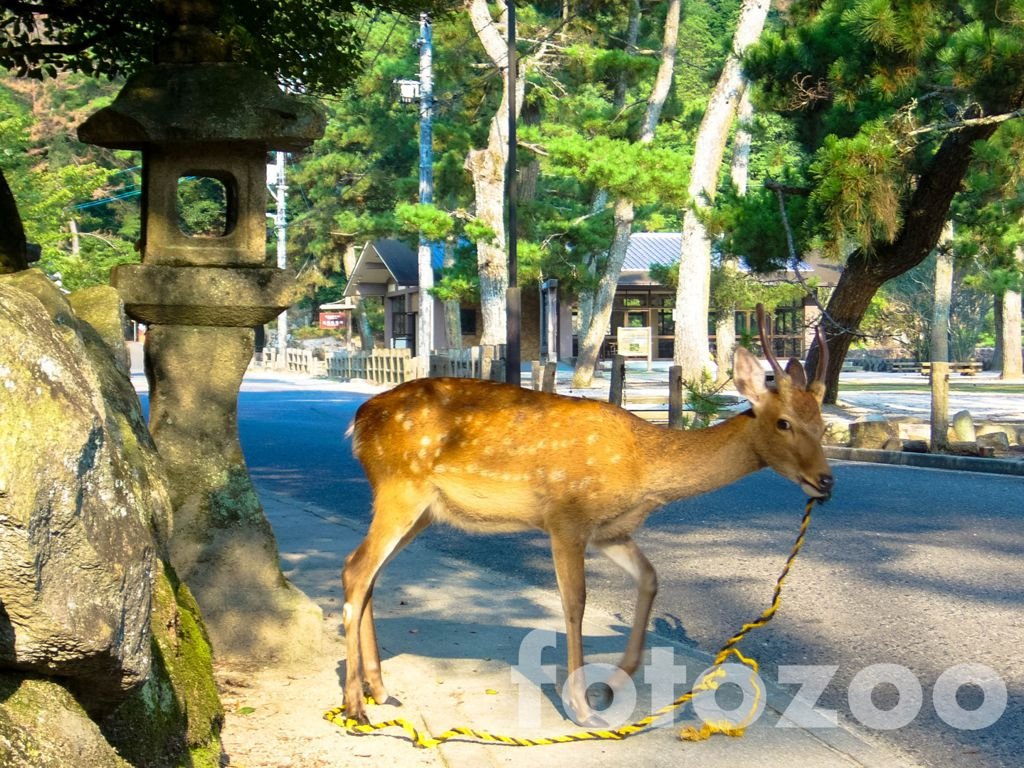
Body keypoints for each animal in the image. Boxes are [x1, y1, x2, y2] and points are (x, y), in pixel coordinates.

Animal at [342, 309, 831, 729]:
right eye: (784, 422)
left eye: (823, 424)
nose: (825, 480)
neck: (642, 467)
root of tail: (358, 421)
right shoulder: (567, 517)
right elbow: (574, 603)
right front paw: (580, 707)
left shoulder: (610, 531)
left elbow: (650, 578)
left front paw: (612, 684)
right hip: (400, 487)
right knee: (357, 569)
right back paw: (354, 706)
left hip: (423, 510)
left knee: (367, 575)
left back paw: (380, 690)